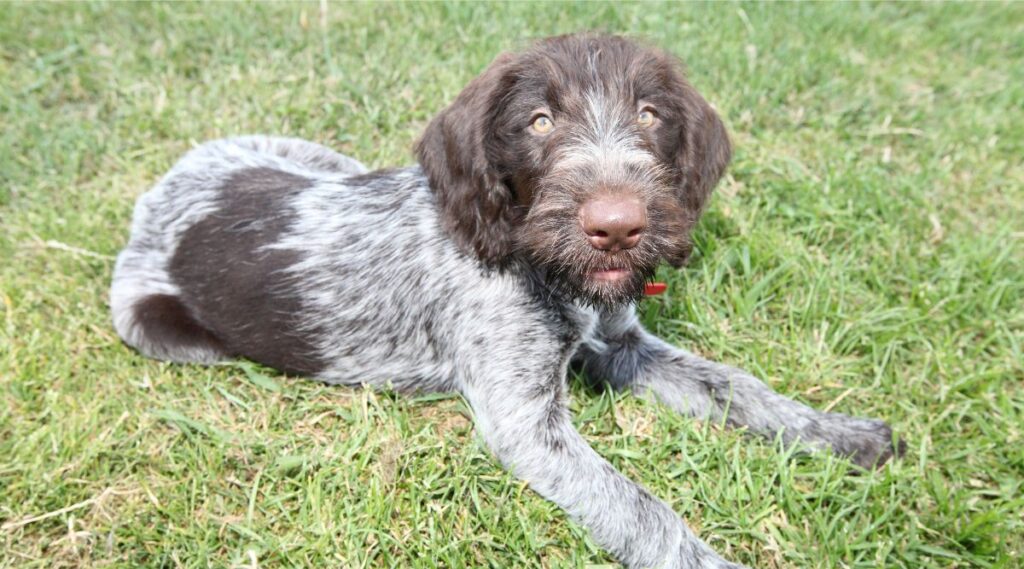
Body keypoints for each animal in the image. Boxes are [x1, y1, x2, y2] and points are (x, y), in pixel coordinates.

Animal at [108, 34, 901, 569]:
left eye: (650, 115)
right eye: (540, 122)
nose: (617, 226)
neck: (545, 267)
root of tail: (161, 192)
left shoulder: (622, 347)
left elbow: (737, 385)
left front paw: (839, 433)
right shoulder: (529, 426)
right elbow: (641, 508)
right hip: (152, 324)